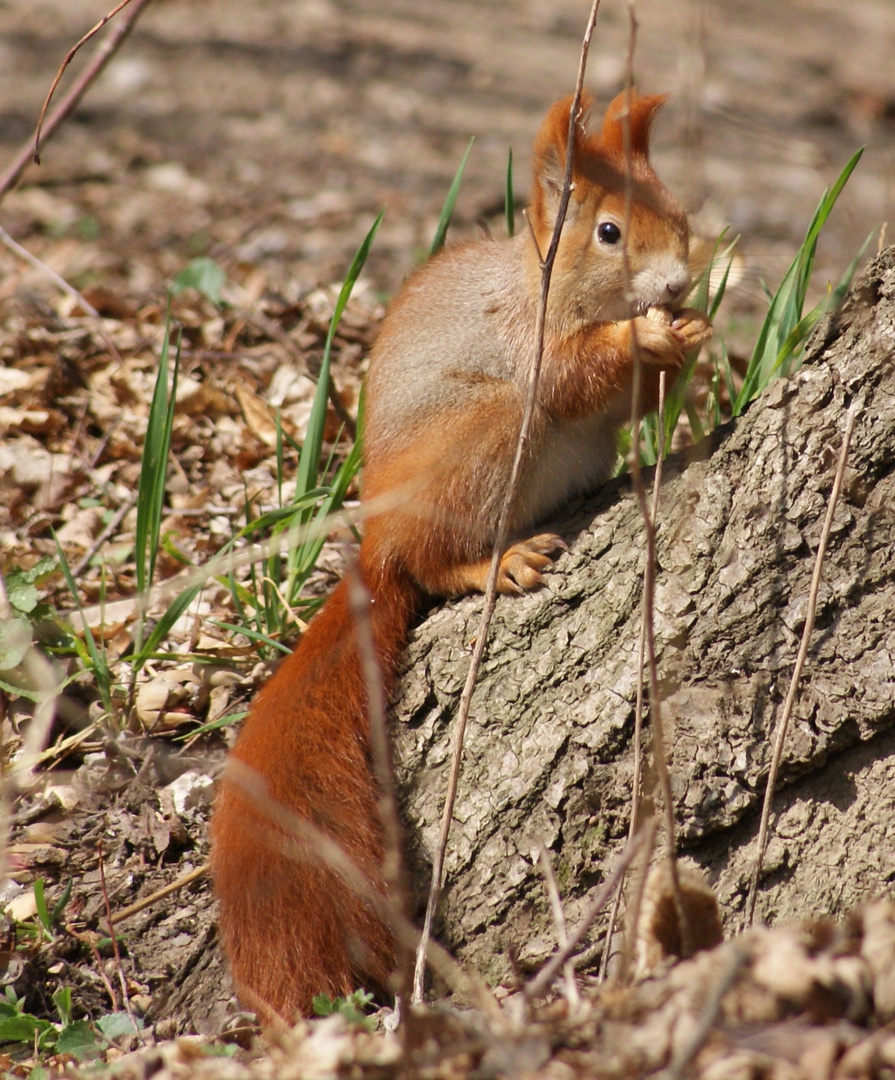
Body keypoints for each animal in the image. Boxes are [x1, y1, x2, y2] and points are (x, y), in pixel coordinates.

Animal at [209, 86, 712, 1019]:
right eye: (608, 232)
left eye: (679, 216)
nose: (675, 283)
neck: (552, 288)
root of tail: (377, 544)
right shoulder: (526, 339)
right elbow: (569, 376)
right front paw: (644, 337)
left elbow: (635, 404)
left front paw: (690, 332)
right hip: (482, 436)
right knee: (431, 564)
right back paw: (494, 564)